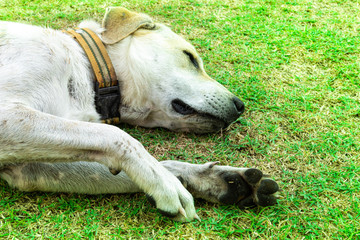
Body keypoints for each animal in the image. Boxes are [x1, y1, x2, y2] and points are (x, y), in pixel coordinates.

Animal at [0, 7, 278, 221]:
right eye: (189, 57)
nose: (240, 106)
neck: (87, 71)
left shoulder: (27, 169)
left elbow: (149, 164)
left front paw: (216, 179)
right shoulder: (9, 117)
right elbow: (117, 136)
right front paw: (165, 183)